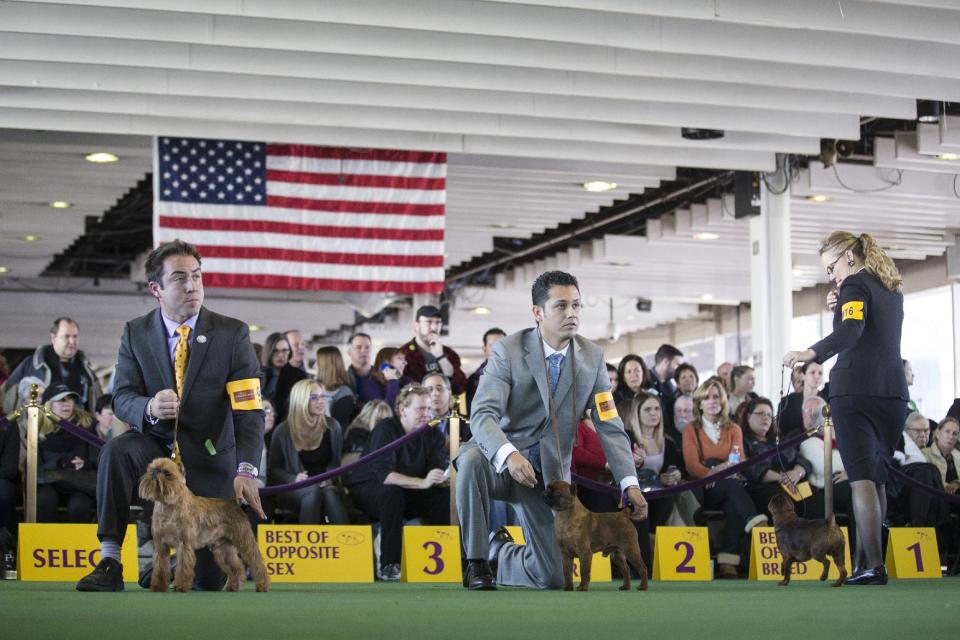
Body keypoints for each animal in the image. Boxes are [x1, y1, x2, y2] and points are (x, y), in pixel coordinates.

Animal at [138, 458, 270, 592]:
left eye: (167, 473)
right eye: (151, 469)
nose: (154, 473)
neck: (167, 505)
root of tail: (233, 503)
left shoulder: (184, 544)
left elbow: (183, 567)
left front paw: (180, 586)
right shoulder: (160, 546)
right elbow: (160, 568)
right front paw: (157, 587)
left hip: (244, 540)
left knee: (256, 561)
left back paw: (262, 585)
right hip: (223, 548)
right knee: (237, 567)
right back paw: (233, 586)